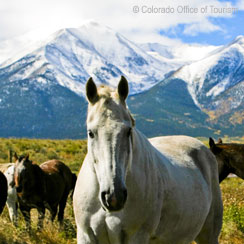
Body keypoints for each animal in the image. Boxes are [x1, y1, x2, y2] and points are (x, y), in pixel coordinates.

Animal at [73, 77, 223, 244]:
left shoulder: (137, 236)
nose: (113, 196)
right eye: (90, 133)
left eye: (128, 131)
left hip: (209, 235)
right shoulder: (85, 235)